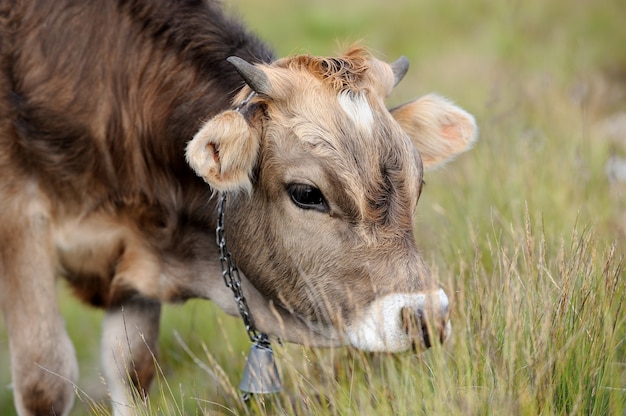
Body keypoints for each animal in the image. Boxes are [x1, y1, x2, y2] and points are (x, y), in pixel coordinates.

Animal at [0, 0, 472, 416]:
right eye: (306, 193)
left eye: (418, 183)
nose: (427, 316)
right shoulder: (20, 223)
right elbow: (45, 383)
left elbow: (132, 369)